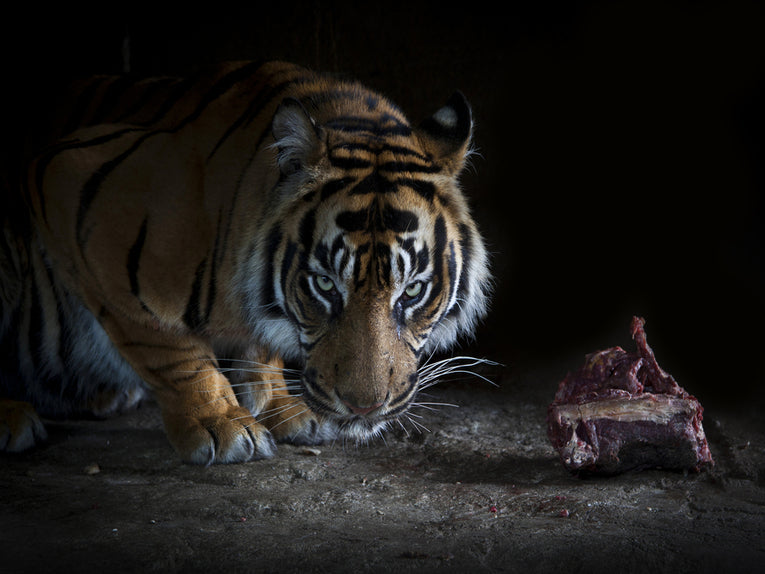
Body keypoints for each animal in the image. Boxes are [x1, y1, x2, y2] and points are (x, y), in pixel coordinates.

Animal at [0, 61, 491, 464]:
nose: (363, 407)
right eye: (325, 285)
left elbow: (260, 346)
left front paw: (281, 407)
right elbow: (167, 343)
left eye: (412, 290)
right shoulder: (67, 183)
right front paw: (219, 423)